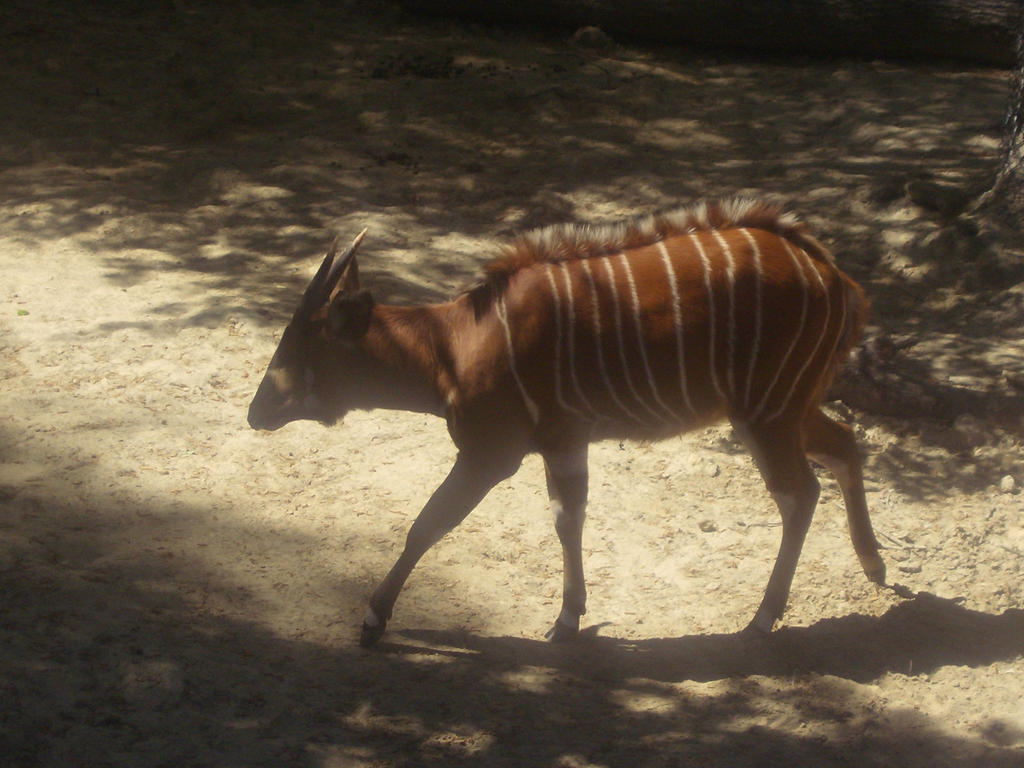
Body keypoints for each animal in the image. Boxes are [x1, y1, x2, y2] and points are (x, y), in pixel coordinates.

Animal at [247, 199, 888, 651]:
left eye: (298, 346)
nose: (256, 412)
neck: (455, 344)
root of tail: (841, 283)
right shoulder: (564, 444)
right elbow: (567, 519)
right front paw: (567, 620)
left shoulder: (491, 454)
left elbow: (427, 525)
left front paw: (373, 620)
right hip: (787, 407)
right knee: (844, 445)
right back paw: (875, 566)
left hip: (765, 413)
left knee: (799, 492)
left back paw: (762, 617)